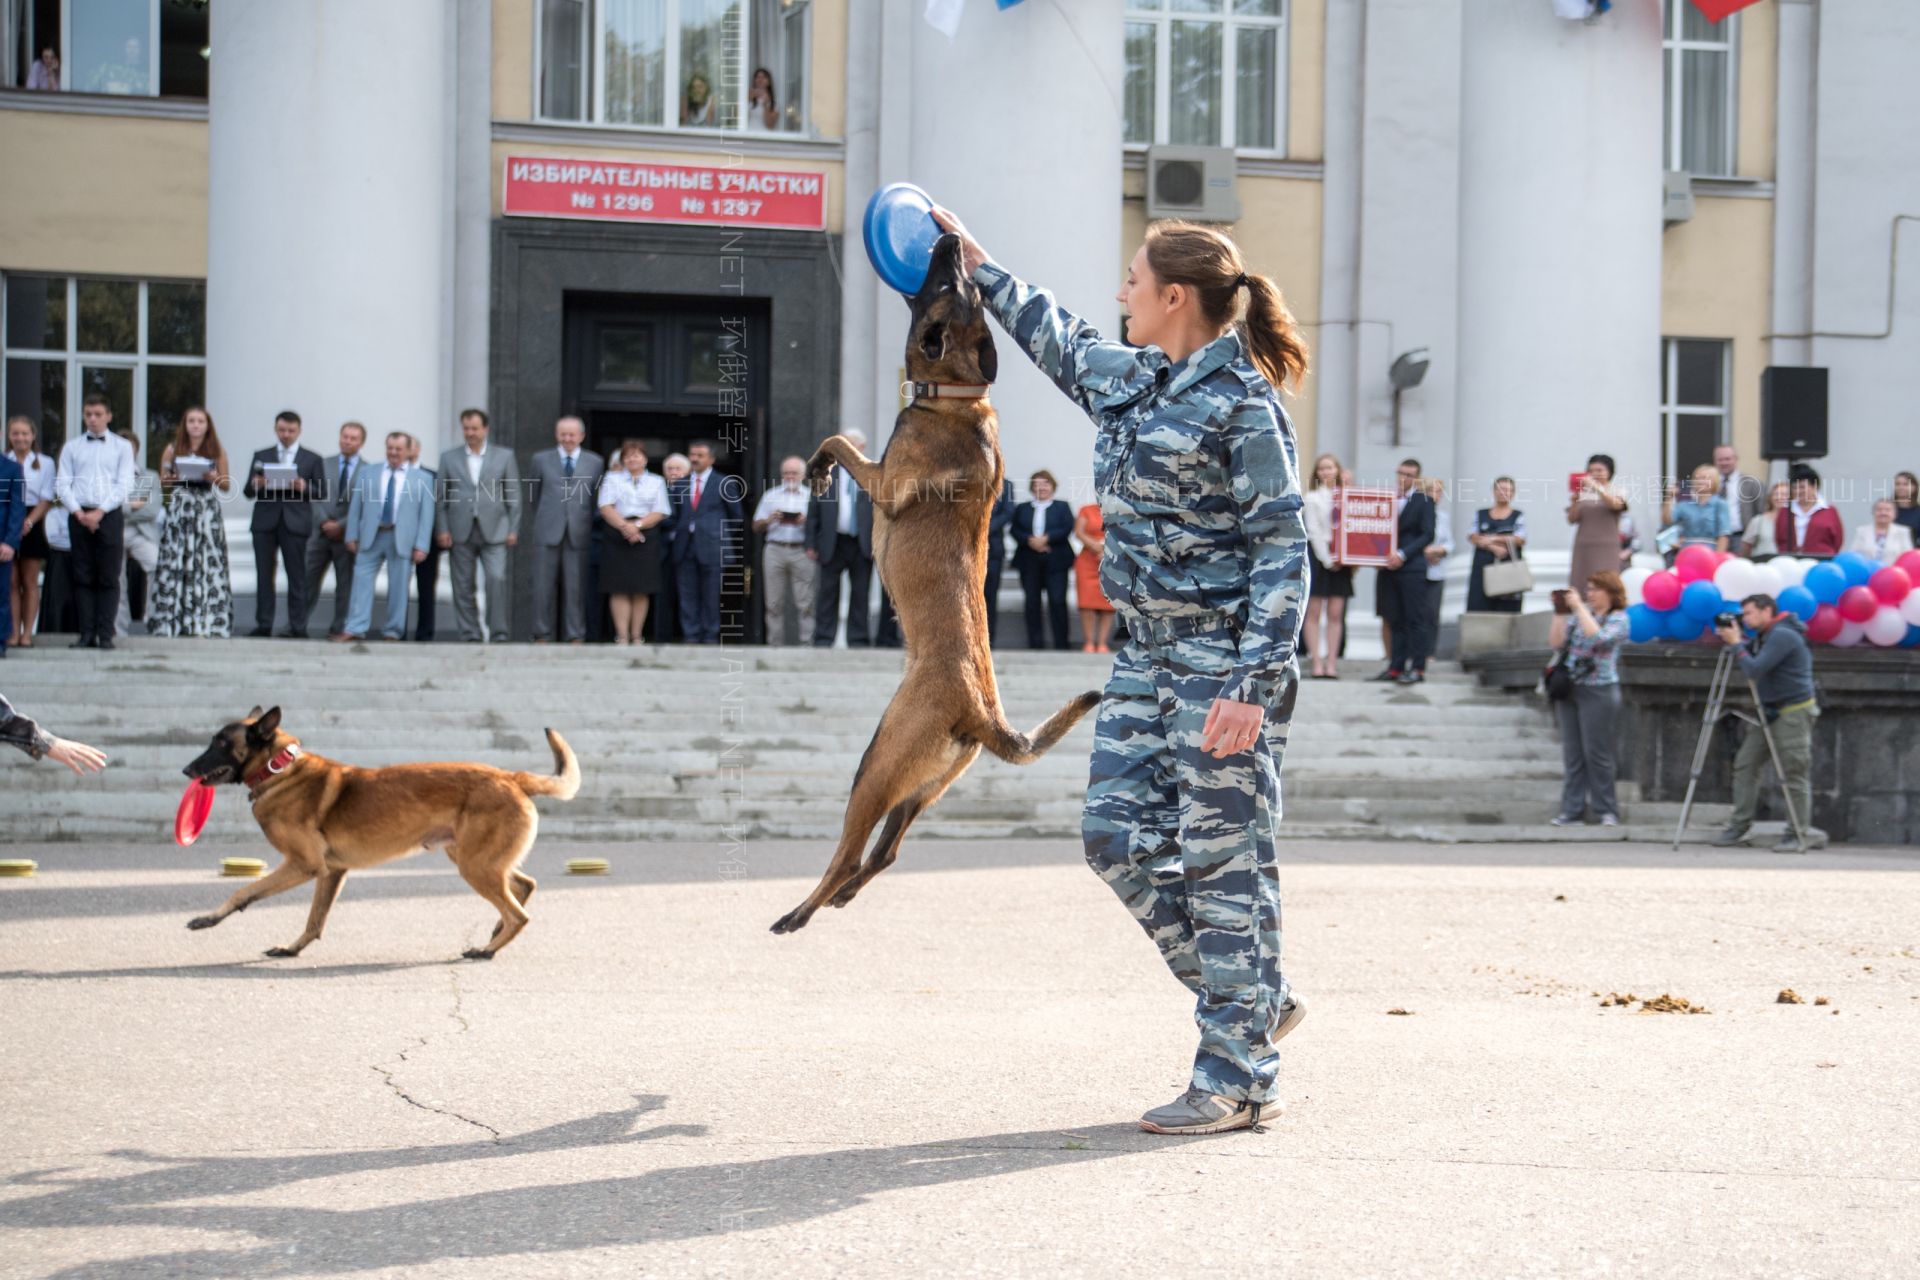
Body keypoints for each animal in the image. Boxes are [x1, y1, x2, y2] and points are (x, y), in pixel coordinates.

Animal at [183, 710, 579, 959]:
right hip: (475, 858)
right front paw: (292, 949)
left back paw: (486, 950)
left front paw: (210, 918)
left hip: (475, 865)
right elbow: (314, 920)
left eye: (220, 743)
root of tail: (512, 777)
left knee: (519, 914)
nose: (186, 769)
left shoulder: (303, 865)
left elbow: (244, 890)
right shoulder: (331, 873)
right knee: (524, 887)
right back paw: (495, 931)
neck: (278, 769)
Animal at [764, 233, 1098, 932]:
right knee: (885, 853)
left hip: (877, 765)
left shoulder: (885, 481)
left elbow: (838, 440)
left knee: (851, 850)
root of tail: (982, 714)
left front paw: (817, 470)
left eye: (946, 285)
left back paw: (801, 911)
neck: (957, 392)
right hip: (918, 789)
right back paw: (840, 896)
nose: (948, 239)